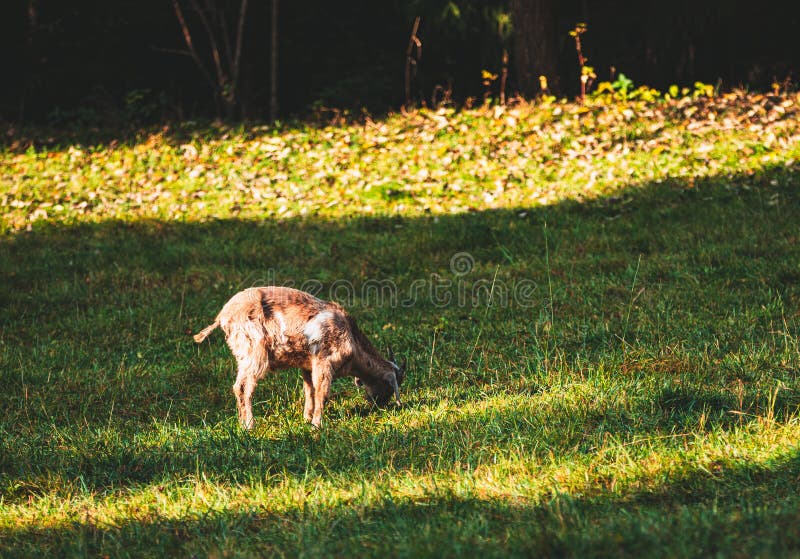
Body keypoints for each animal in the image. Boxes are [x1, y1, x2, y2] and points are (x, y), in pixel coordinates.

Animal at [193, 286, 406, 429]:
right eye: (389, 386)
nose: (379, 406)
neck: (352, 339)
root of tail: (223, 316)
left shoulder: (307, 365)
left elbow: (309, 391)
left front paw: (306, 418)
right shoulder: (323, 362)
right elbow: (322, 392)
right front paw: (317, 424)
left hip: (243, 356)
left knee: (238, 387)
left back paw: (241, 422)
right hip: (254, 352)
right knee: (244, 387)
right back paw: (250, 425)